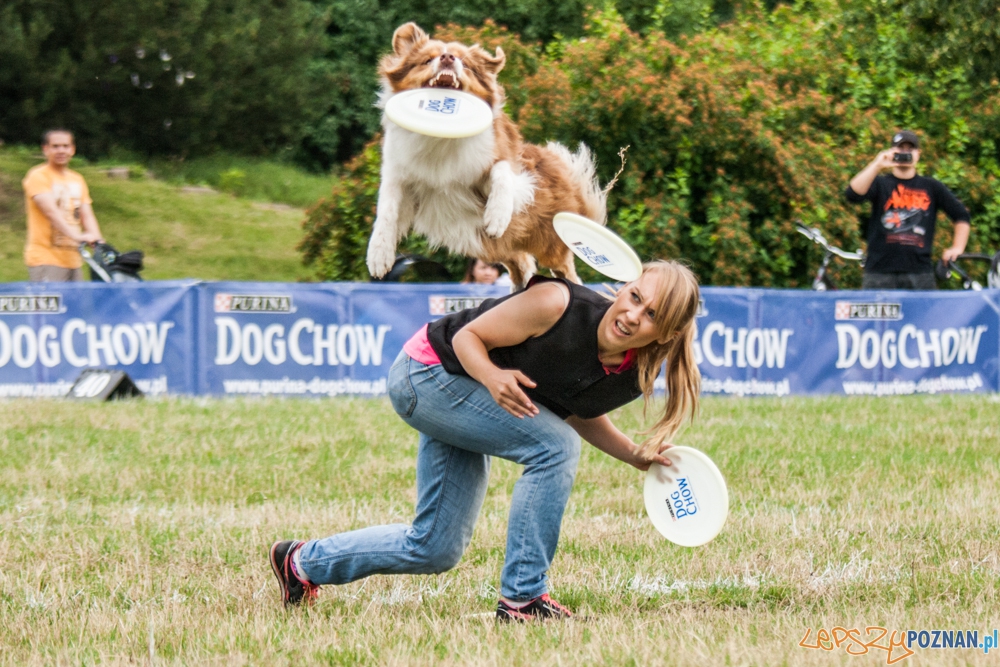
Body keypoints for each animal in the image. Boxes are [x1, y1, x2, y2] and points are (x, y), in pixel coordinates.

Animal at [364, 22, 604, 288]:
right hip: (493, 247)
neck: (441, 136)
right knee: (521, 263)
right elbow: (387, 210)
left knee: (565, 271)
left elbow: (502, 172)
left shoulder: (500, 170)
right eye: (427, 60)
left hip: (548, 243)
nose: (447, 58)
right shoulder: (399, 174)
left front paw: (496, 216)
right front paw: (378, 256)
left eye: (465, 63)